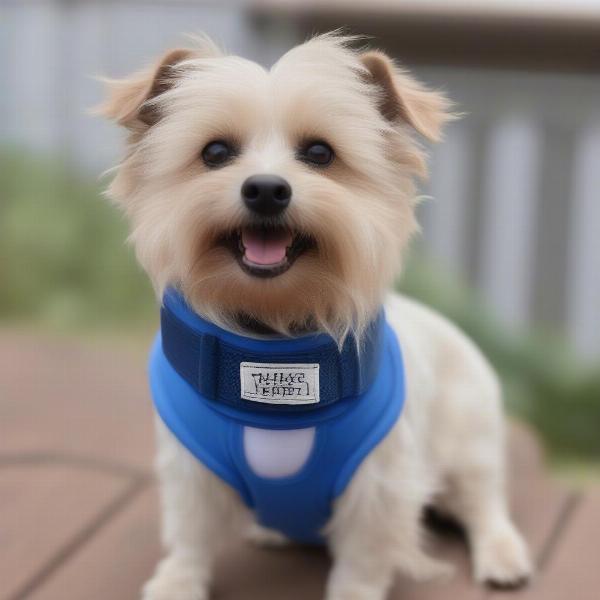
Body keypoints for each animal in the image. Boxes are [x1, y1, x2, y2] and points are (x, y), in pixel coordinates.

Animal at [99, 32, 536, 600]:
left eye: (320, 153)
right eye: (214, 152)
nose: (266, 189)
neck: (275, 328)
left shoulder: (378, 484)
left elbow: (362, 560)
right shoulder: (189, 469)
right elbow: (189, 535)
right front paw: (177, 582)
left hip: (471, 441)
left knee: (484, 502)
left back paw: (503, 555)